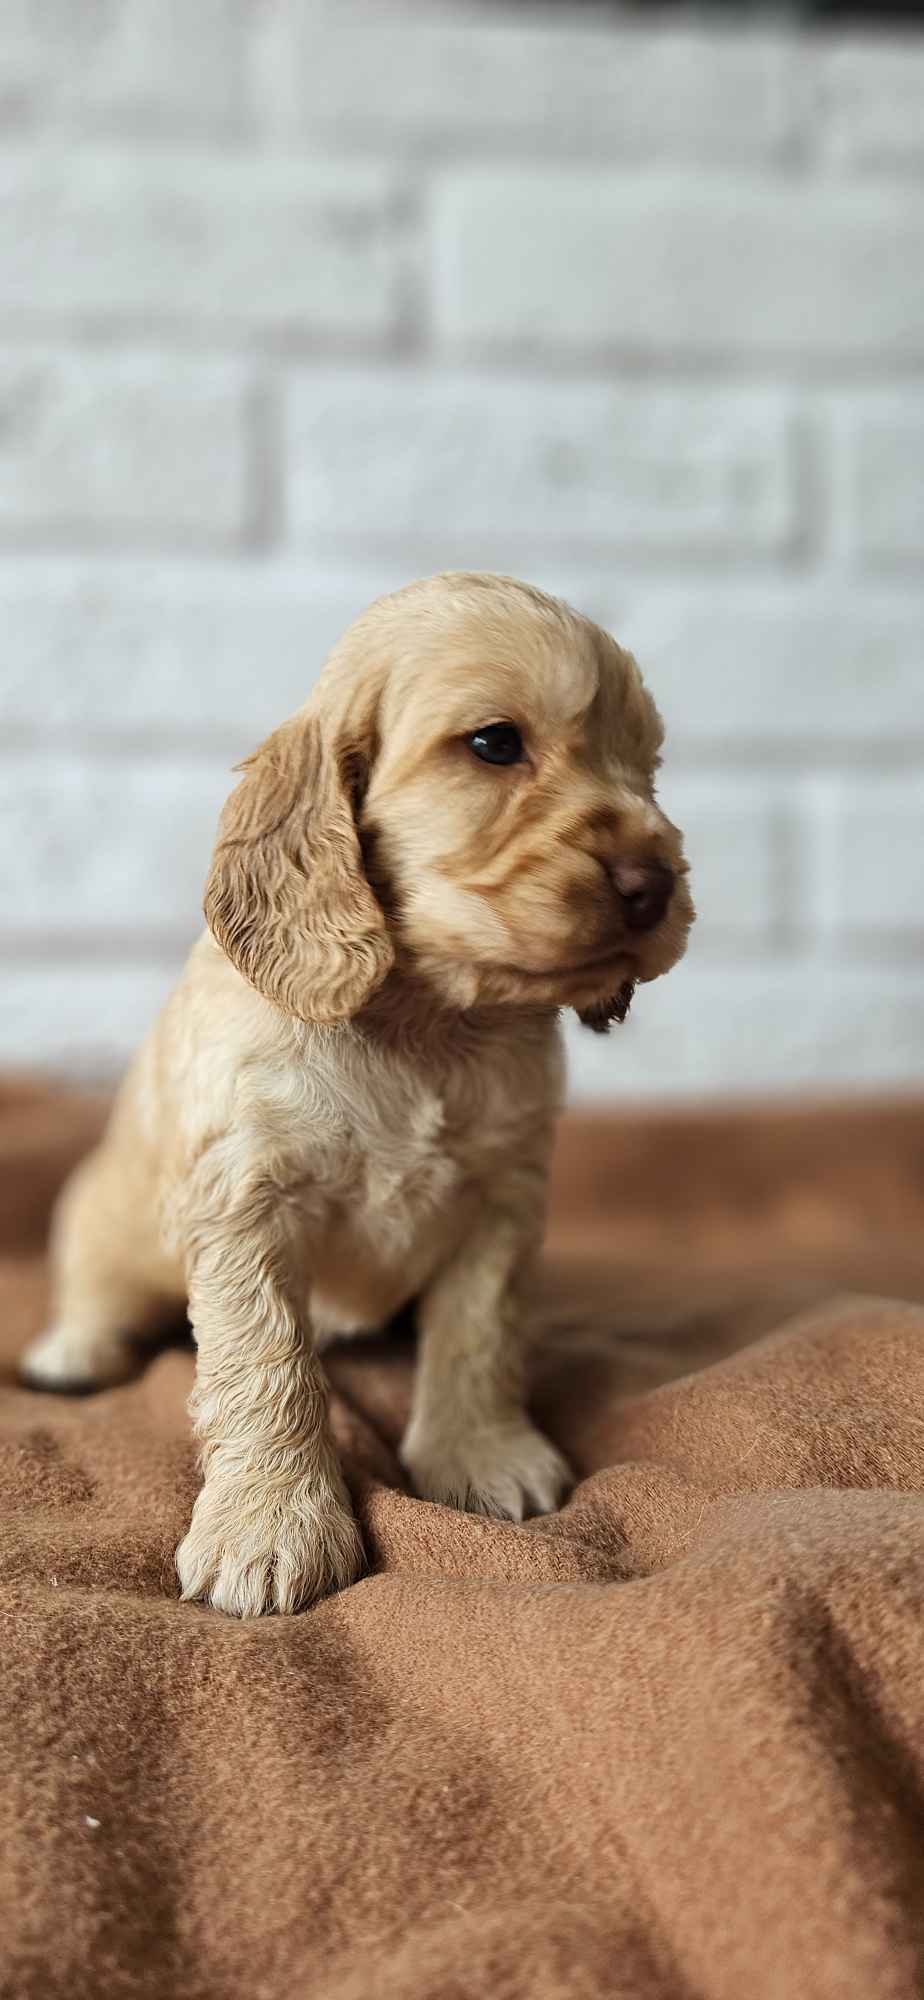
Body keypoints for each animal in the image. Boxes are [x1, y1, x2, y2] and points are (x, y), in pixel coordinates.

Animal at [21, 572, 692, 1616]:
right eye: (495, 743)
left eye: (647, 765)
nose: (654, 883)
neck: (426, 1023)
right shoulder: (243, 1201)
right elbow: (267, 1365)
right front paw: (268, 1527)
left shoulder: (503, 1197)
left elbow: (478, 1333)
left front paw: (483, 1456)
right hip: (102, 1220)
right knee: (94, 1288)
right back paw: (72, 1352)